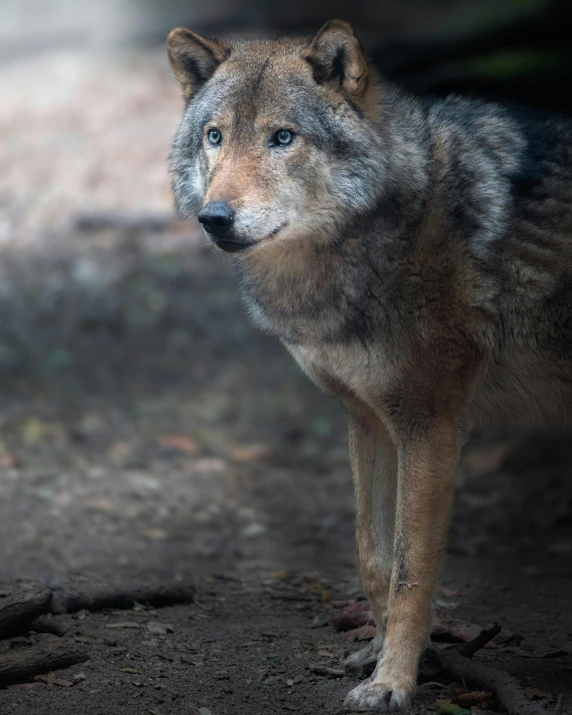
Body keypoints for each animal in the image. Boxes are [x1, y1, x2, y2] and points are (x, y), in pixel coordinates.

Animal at [168, 19, 572, 712]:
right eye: (215, 136)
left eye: (283, 137)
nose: (214, 218)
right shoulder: (368, 418)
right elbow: (371, 556)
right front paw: (386, 657)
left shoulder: (431, 427)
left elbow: (413, 570)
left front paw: (393, 682)